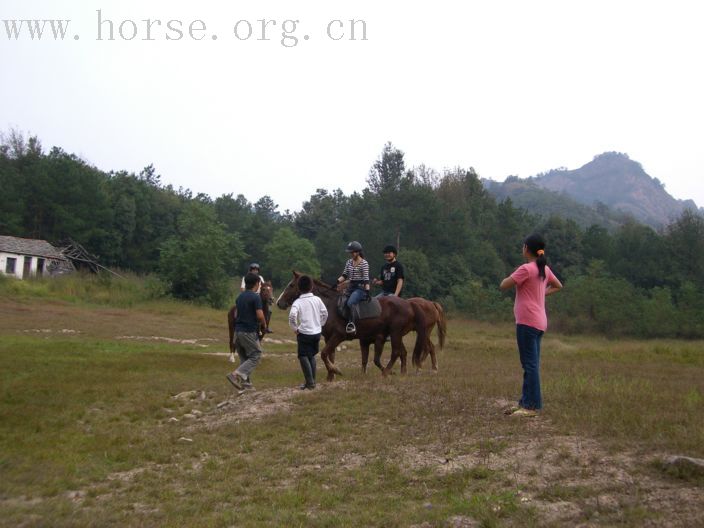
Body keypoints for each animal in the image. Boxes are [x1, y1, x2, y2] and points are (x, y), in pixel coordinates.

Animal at [276, 272, 428, 380]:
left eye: (291, 285)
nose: (278, 302)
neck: (329, 306)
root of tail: (408, 304)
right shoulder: (329, 337)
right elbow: (330, 355)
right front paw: (330, 376)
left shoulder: (338, 336)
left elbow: (324, 354)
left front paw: (336, 371)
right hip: (396, 335)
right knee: (402, 352)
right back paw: (401, 373)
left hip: (395, 333)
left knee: (396, 352)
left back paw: (386, 372)